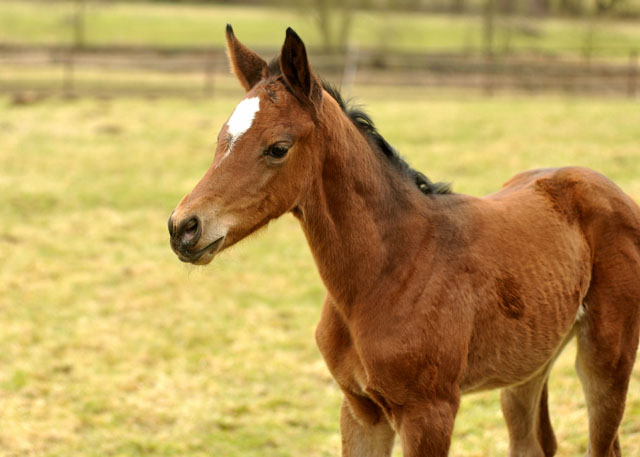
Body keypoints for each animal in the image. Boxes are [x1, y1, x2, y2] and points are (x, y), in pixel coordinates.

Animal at [169, 25, 640, 456]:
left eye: (278, 148)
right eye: (221, 138)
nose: (183, 227)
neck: (388, 270)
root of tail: (604, 185)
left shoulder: (428, 413)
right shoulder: (360, 410)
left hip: (606, 358)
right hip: (528, 364)